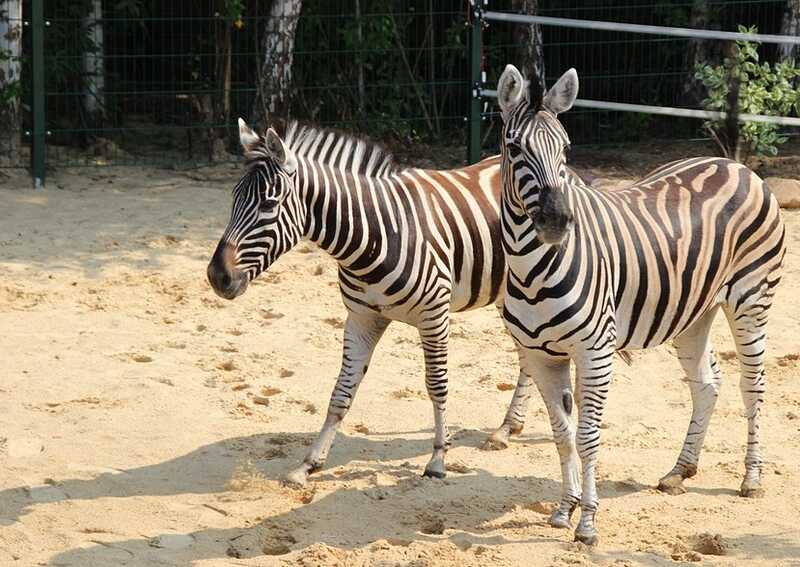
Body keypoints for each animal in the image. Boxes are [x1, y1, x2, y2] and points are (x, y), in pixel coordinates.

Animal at [206, 117, 536, 486]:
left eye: (268, 204)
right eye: (233, 199)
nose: (216, 276)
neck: (374, 236)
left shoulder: (434, 316)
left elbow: (437, 385)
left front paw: (438, 459)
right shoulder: (362, 318)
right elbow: (341, 392)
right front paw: (309, 463)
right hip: (510, 294)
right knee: (527, 355)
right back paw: (507, 428)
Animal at [496, 65, 784, 544]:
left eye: (567, 149)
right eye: (514, 147)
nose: (558, 222)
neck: (532, 266)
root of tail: (735, 165)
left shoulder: (594, 352)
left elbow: (588, 436)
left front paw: (588, 523)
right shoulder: (539, 355)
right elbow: (562, 433)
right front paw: (563, 510)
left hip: (751, 298)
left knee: (753, 385)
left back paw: (752, 478)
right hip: (693, 311)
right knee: (707, 382)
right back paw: (679, 470)